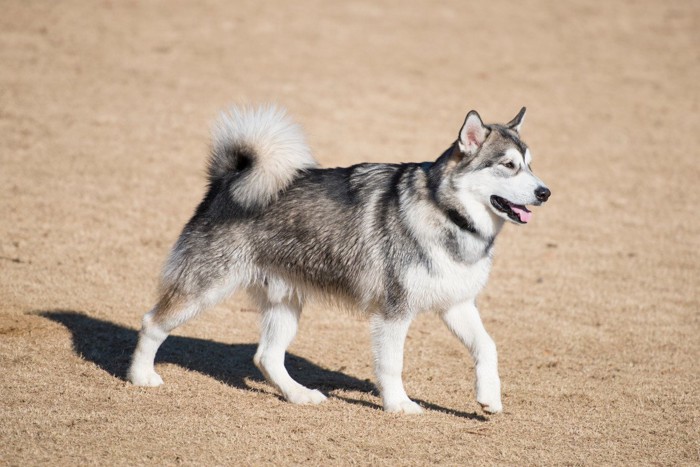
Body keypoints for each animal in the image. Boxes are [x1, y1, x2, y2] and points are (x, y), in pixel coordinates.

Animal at [129, 105, 548, 414]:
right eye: (508, 165)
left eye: (530, 164)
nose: (545, 192)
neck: (446, 213)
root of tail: (228, 179)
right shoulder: (393, 312)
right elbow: (391, 364)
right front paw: (399, 405)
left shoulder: (457, 304)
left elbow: (487, 347)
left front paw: (489, 399)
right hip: (205, 288)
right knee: (153, 323)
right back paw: (141, 377)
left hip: (286, 302)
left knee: (267, 357)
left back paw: (299, 395)